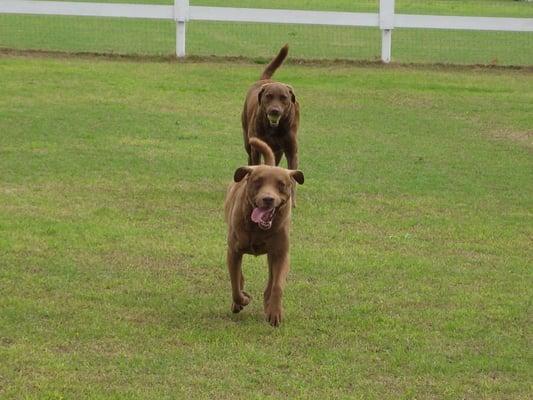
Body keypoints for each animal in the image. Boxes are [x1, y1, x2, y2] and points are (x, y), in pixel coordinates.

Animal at [223, 139, 304, 326]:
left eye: (281, 184)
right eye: (257, 182)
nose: (268, 199)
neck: (257, 227)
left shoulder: (281, 254)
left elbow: (277, 285)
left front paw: (275, 312)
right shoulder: (234, 252)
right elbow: (235, 283)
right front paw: (242, 300)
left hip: (272, 254)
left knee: (271, 280)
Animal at [241, 44, 300, 206]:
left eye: (284, 97)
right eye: (269, 96)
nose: (275, 110)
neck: (274, 128)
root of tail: (266, 80)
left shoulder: (291, 150)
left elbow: (292, 177)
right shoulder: (256, 147)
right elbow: (256, 165)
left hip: (277, 150)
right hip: (247, 140)